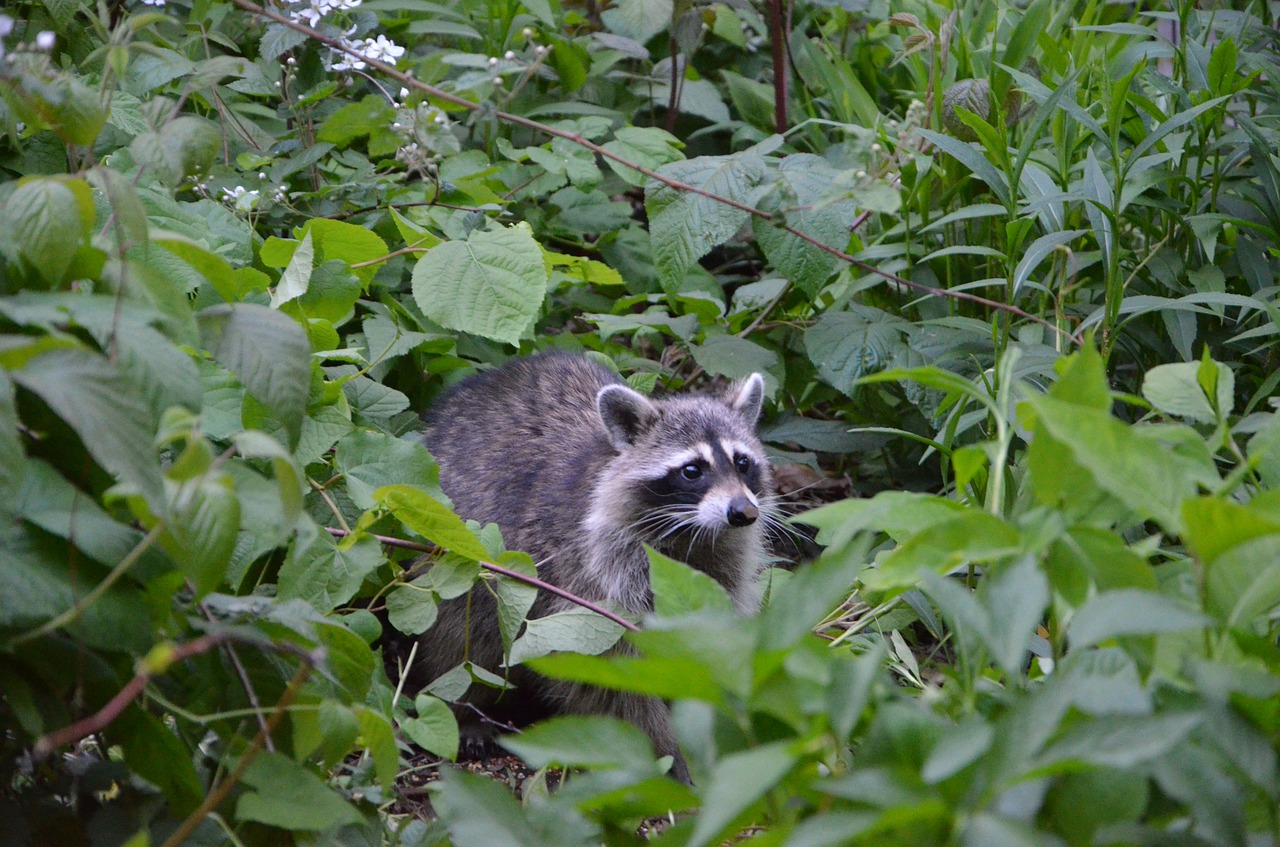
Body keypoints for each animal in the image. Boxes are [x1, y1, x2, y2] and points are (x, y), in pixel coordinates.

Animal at [409, 350, 773, 783]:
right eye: (692, 470)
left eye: (742, 462)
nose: (743, 512)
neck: (690, 534)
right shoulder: (589, 578)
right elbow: (611, 679)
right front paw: (666, 756)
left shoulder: (716, 572)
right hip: (454, 546)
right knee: (462, 639)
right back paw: (466, 710)